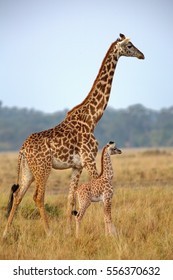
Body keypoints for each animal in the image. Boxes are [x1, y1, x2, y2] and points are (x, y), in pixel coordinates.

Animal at [3, 34, 145, 237]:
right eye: (130, 45)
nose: (142, 55)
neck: (93, 118)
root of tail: (22, 149)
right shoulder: (90, 159)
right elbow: (96, 194)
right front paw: (106, 234)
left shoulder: (77, 165)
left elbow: (70, 197)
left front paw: (69, 232)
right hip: (43, 168)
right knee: (38, 196)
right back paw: (49, 232)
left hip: (28, 170)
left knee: (17, 194)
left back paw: (6, 232)